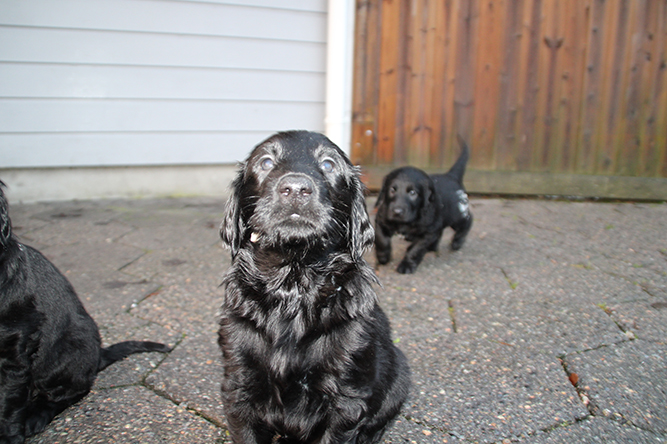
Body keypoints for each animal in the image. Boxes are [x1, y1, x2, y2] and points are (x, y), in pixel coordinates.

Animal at [0, 182, 171, 444]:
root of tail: (97, 355)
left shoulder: (14, 347)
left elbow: (8, 402)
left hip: (67, 353)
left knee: (73, 392)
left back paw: (36, 415)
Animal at [218, 131, 410, 444]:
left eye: (329, 164)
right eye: (265, 162)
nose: (296, 188)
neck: (294, 286)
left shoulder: (346, 399)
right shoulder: (238, 385)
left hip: (400, 376)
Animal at [374, 139, 473, 274]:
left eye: (412, 193)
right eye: (392, 190)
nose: (397, 212)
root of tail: (451, 176)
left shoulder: (428, 232)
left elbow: (415, 249)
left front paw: (407, 265)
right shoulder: (381, 219)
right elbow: (382, 239)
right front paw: (383, 256)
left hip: (456, 215)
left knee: (468, 220)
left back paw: (457, 241)